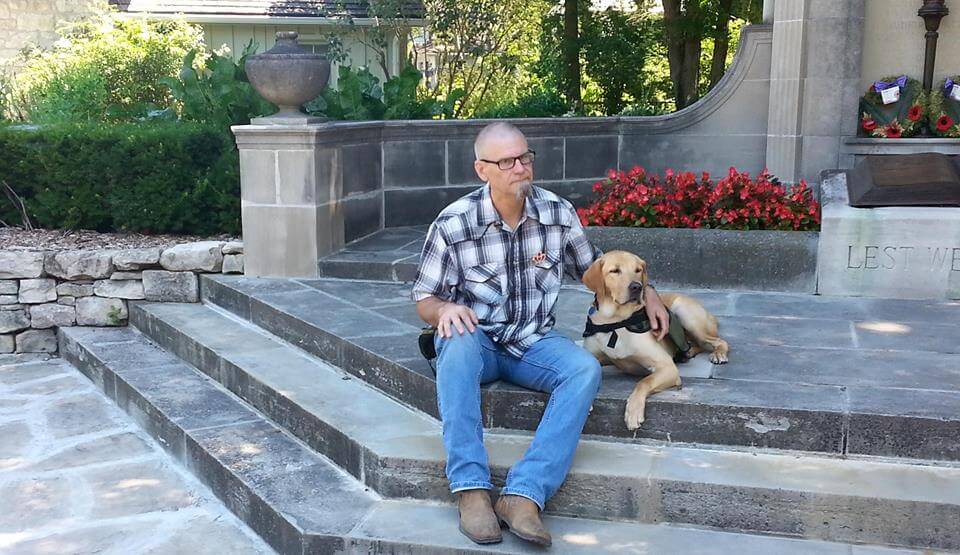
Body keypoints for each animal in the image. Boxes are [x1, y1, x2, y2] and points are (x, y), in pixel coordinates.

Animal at [580, 251, 732, 430]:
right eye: (615, 271)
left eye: (638, 270)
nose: (637, 287)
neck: (615, 321)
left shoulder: (666, 367)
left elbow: (644, 382)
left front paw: (633, 412)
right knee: (695, 344)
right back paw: (686, 353)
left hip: (684, 313)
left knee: (718, 341)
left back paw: (718, 354)